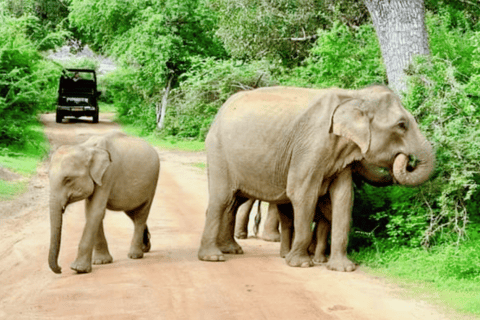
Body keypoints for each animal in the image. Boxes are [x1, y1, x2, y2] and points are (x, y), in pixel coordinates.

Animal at [49, 131, 161, 274]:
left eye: (68, 180)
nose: (60, 269)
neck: (86, 148)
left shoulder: (108, 174)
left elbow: (95, 211)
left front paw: (78, 269)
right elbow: (91, 212)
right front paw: (101, 262)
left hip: (152, 182)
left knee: (141, 214)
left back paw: (135, 255)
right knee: (132, 213)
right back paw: (145, 247)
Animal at [199, 85, 436, 270]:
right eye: (401, 125)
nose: (407, 160)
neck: (354, 95)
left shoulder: (340, 157)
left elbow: (344, 198)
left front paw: (343, 268)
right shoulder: (310, 146)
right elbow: (303, 194)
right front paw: (301, 264)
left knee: (233, 202)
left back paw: (231, 250)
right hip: (218, 151)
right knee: (221, 199)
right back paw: (213, 257)